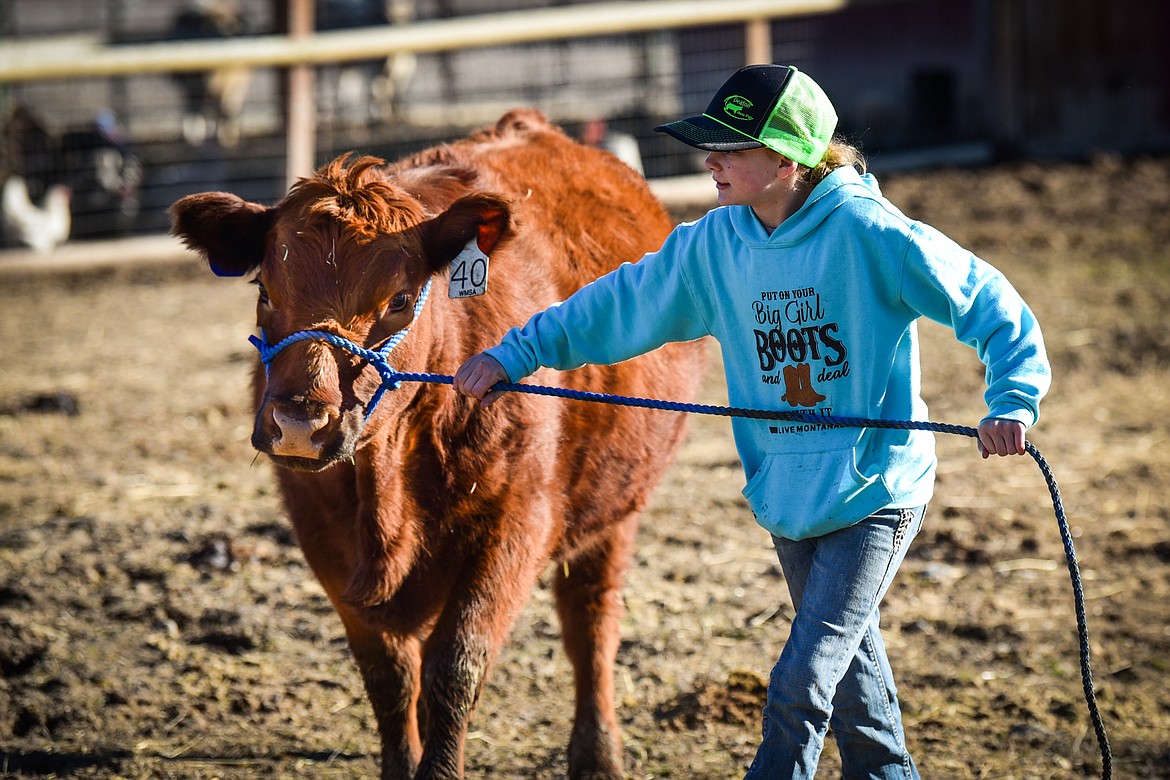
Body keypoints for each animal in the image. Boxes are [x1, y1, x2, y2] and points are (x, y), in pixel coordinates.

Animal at [170, 111, 706, 780]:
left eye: (399, 299)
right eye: (265, 289)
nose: (298, 422)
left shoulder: (517, 525)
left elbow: (456, 667)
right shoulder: (322, 537)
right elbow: (390, 675)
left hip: (614, 511)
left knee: (591, 621)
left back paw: (597, 754)